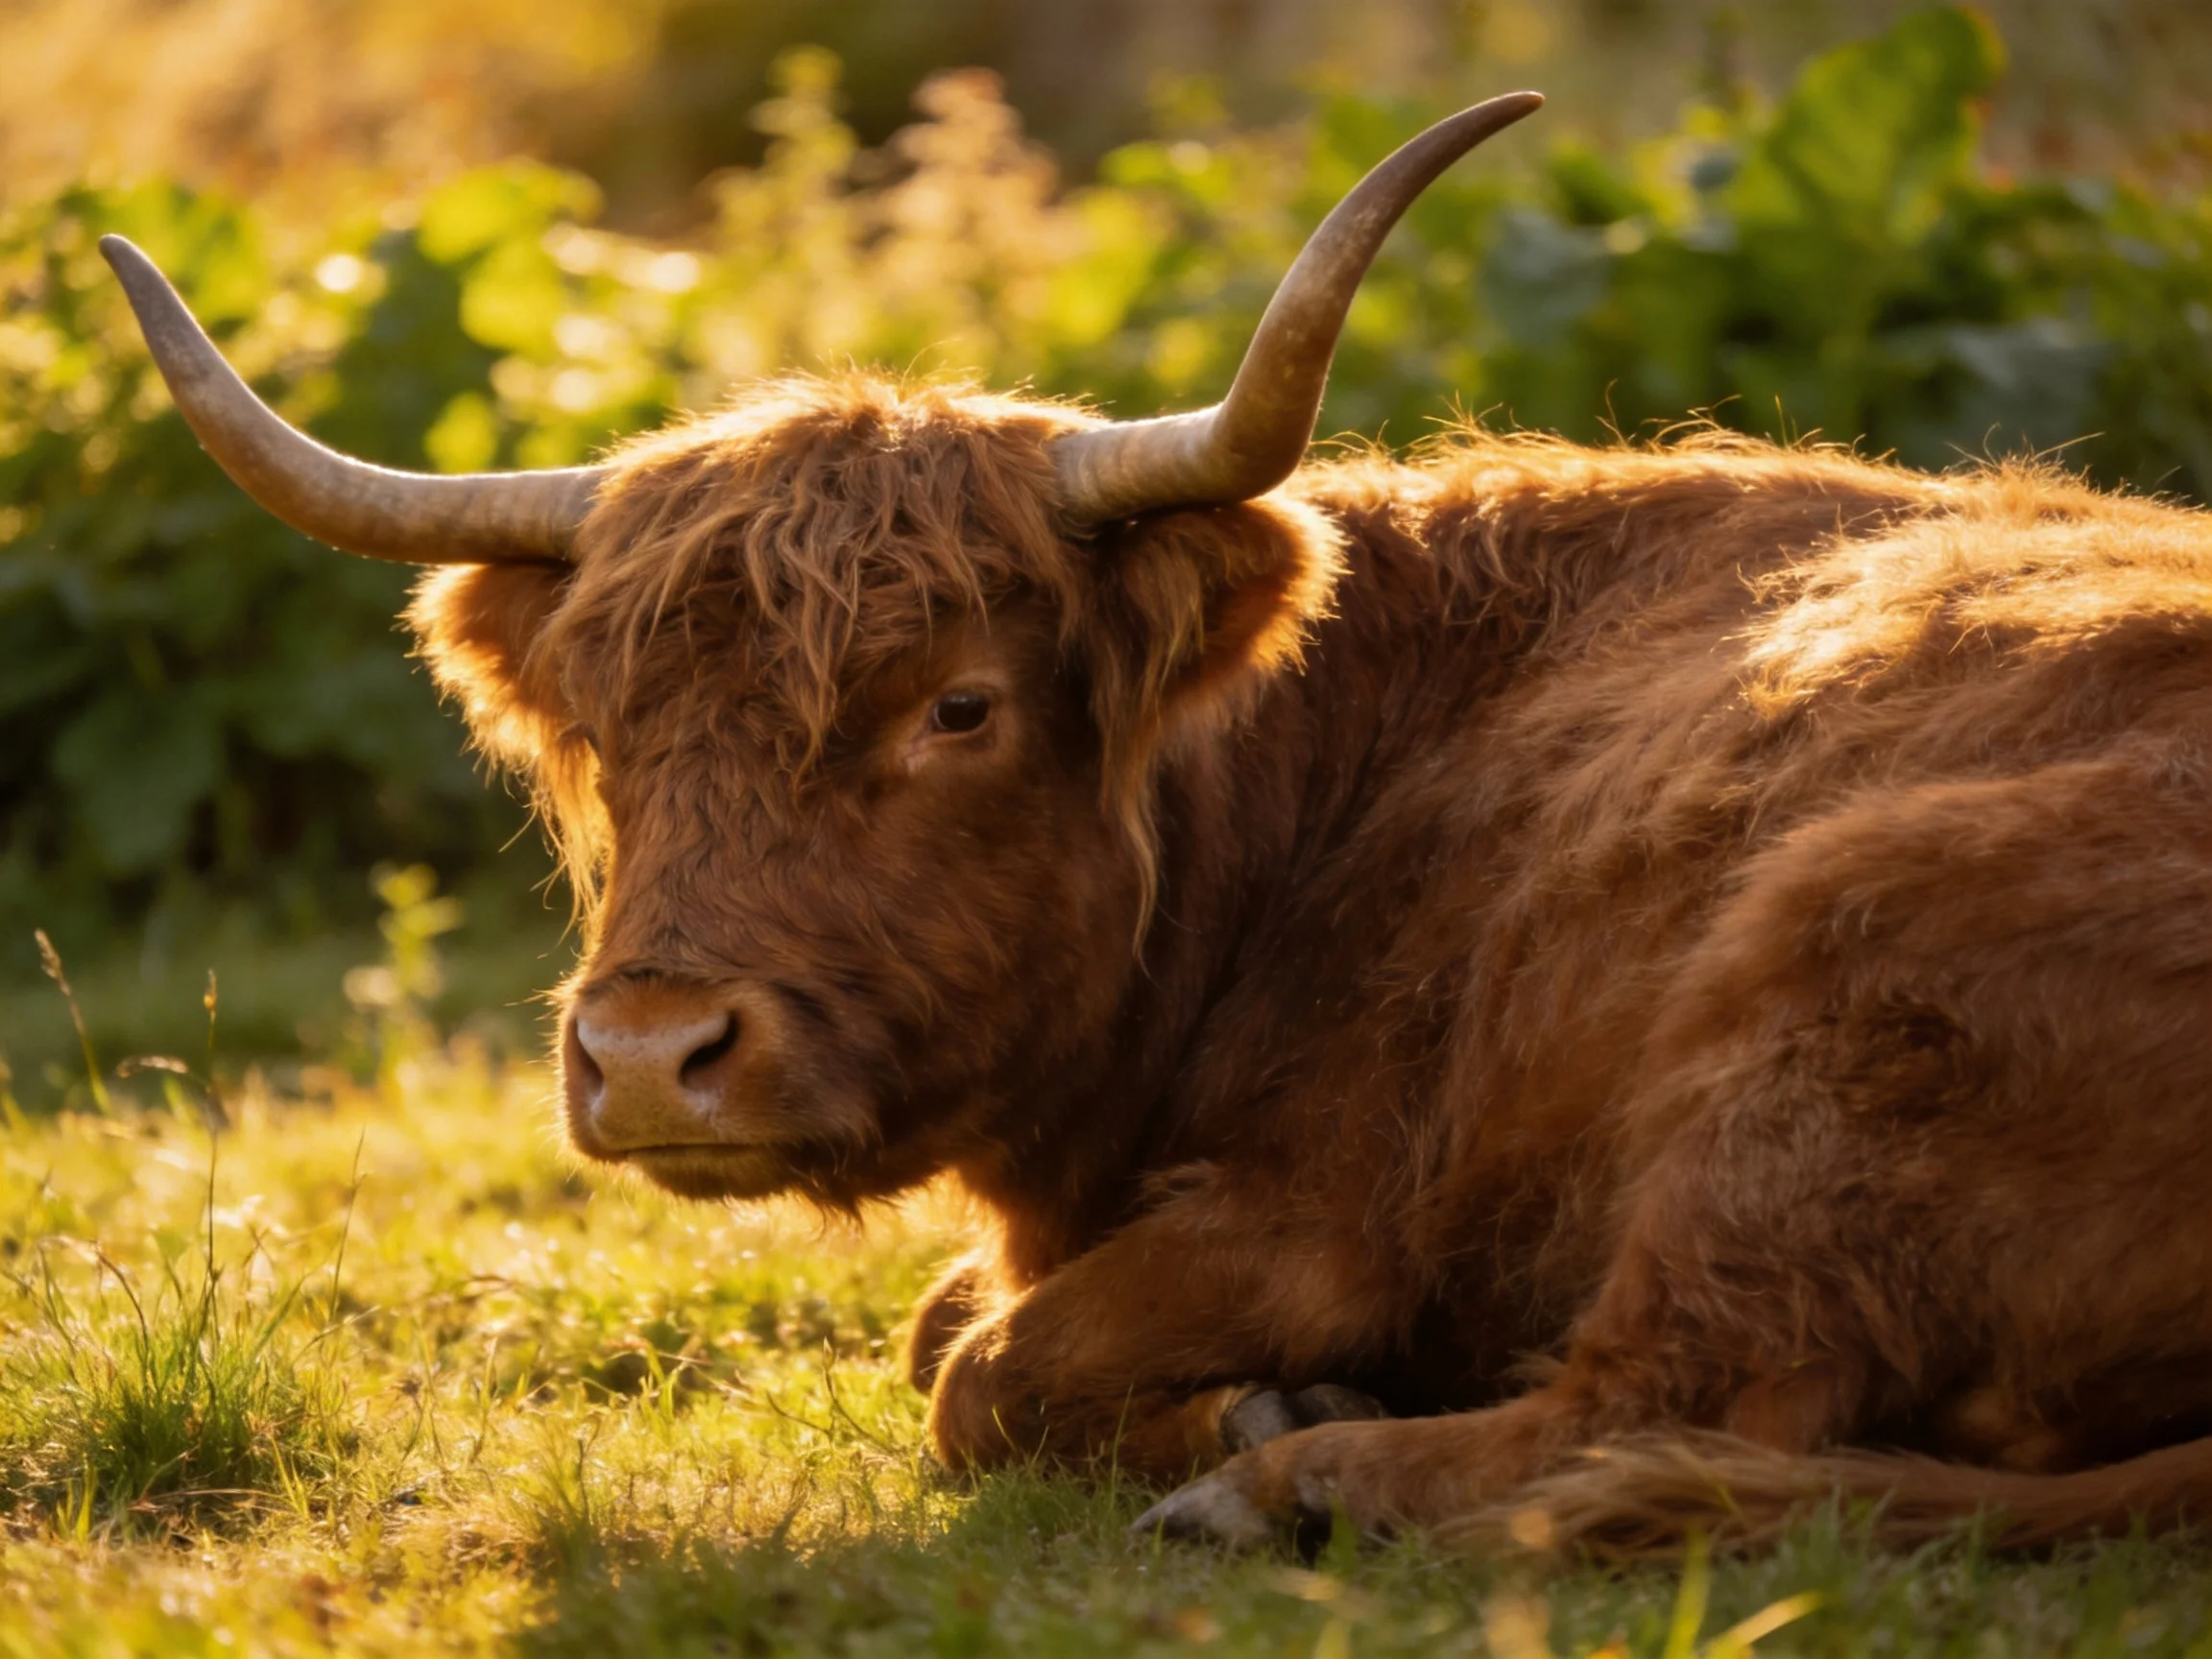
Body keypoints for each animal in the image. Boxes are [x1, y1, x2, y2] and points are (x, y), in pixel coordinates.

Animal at [102, 90, 2212, 1558]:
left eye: (958, 704)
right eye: (612, 737)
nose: (645, 1055)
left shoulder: (1323, 1220)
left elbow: (978, 1373)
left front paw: (1237, 1418)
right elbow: (943, 1328)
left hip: (1837, 973)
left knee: (1654, 1403)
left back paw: (1287, 1477)